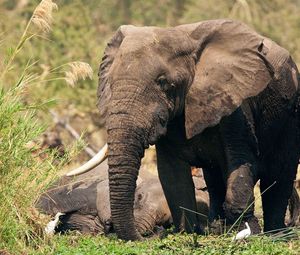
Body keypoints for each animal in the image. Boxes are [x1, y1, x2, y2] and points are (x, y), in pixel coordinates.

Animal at [68, 18, 300, 240]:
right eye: (110, 83)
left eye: (163, 82)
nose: (149, 236)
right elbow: (173, 174)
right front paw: (188, 232)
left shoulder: (235, 104)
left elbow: (240, 164)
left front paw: (249, 233)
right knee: (214, 179)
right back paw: (218, 229)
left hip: (291, 111)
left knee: (279, 173)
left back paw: (275, 233)